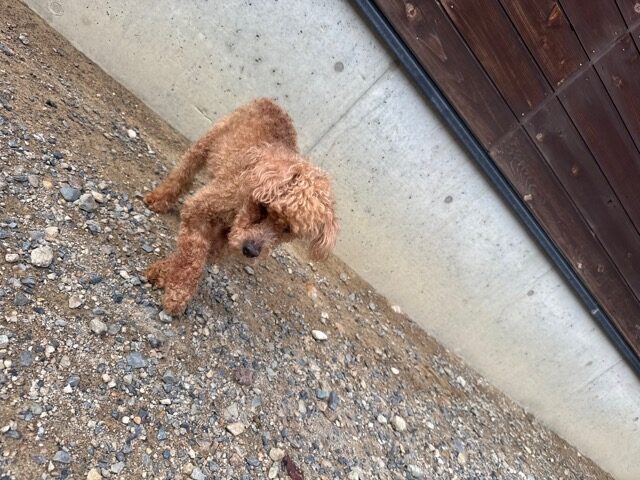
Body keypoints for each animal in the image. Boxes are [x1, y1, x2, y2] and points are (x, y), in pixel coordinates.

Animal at [143, 98, 338, 315]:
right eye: (263, 207)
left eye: (288, 230)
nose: (250, 251)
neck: (239, 210)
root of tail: (271, 103)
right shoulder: (198, 210)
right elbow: (191, 258)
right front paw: (178, 293)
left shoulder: (224, 244)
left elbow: (194, 257)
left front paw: (164, 273)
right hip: (207, 142)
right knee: (183, 173)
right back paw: (159, 199)